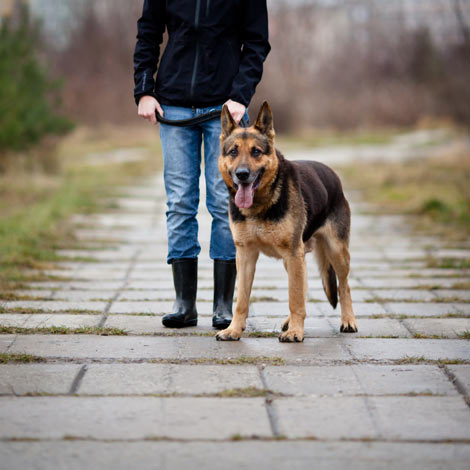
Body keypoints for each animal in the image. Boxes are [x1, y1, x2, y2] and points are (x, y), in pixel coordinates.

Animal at [216, 102, 356, 342]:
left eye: (256, 152)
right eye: (233, 151)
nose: (242, 174)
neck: (260, 204)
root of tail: (332, 175)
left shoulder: (292, 253)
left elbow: (295, 297)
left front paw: (296, 332)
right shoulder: (245, 255)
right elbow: (241, 300)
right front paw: (233, 330)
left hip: (335, 252)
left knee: (343, 286)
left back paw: (348, 321)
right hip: (292, 260)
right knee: (304, 285)